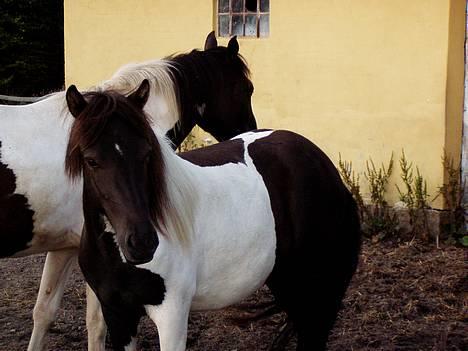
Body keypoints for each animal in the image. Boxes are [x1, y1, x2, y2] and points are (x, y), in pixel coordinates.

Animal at [65, 81, 358, 350]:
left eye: (147, 154)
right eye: (91, 160)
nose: (142, 242)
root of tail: (327, 169)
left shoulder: (171, 315)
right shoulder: (117, 315)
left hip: (316, 289)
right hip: (285, 280)